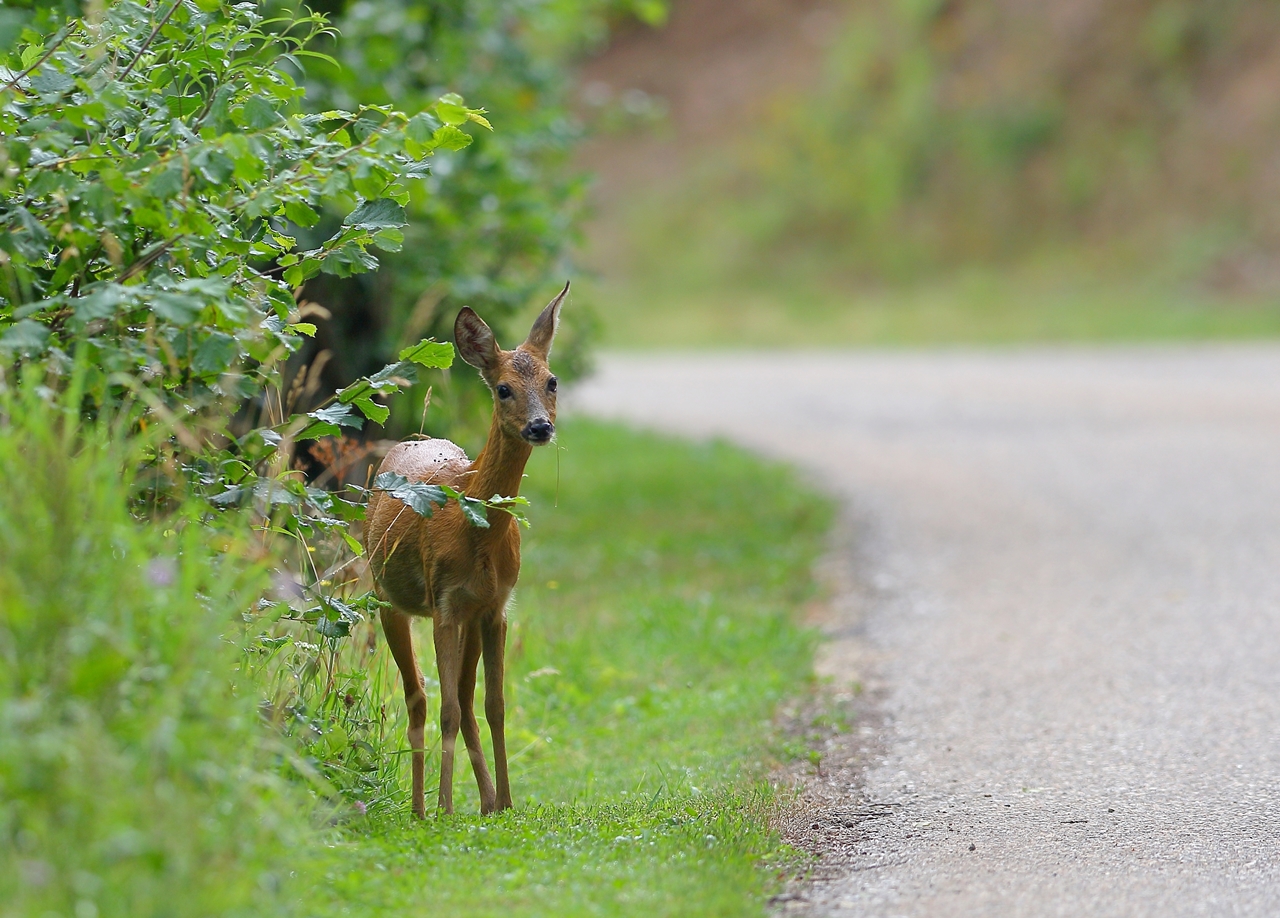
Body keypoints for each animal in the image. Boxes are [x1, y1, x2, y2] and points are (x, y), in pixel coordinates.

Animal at [363, 282, 568, 814]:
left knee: (464, 697)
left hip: (468, 619)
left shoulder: (495, 607)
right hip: (385, 598)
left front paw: (506, 803)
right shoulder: (445, 602)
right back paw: (420, 808)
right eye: (503, 388)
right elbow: (449, 709)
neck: (477, 531)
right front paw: (444, 808)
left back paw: (486, 801)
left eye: (552, 381)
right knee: (419, 697)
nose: (540, 427)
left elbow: (494, 704)